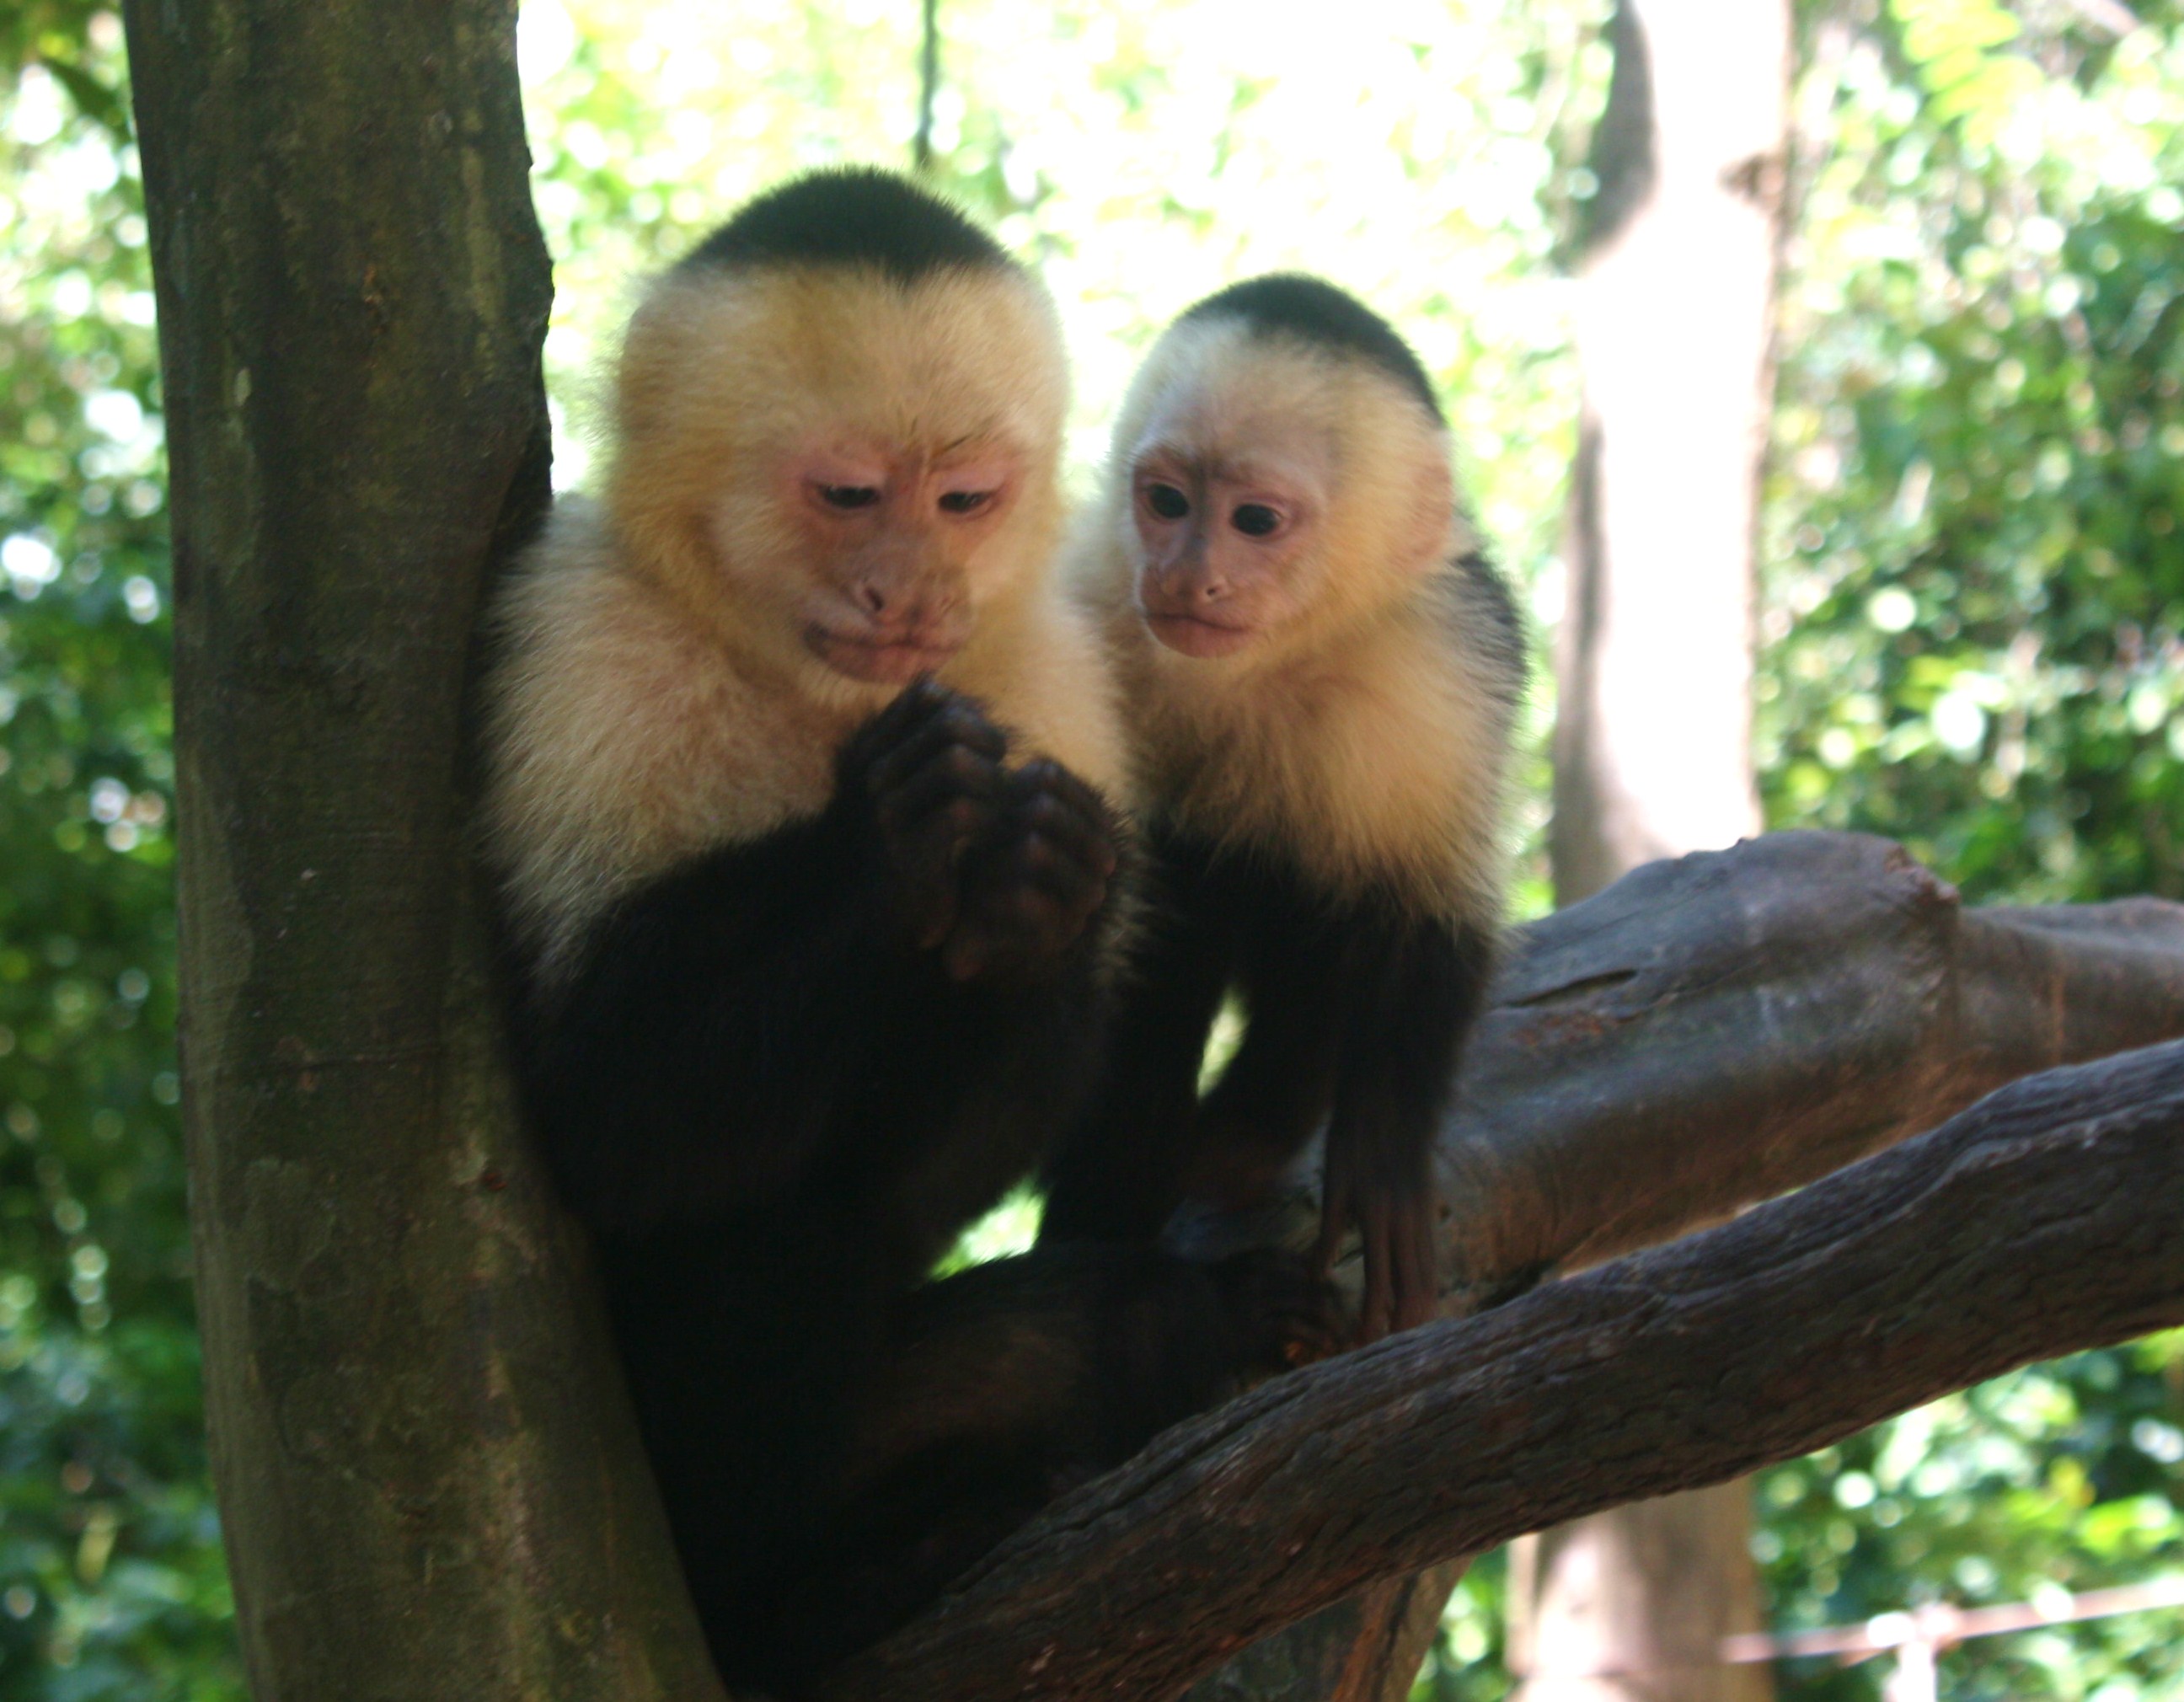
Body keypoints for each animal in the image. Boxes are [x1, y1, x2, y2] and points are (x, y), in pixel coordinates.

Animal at [476, 174, 1340, 1695]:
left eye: (963, 499)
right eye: (848, 494)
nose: (911, 589)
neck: (811, 689)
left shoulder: (1052, 680)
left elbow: (952, 1155)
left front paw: (1031, 903)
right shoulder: (578, 646)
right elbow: (609, 1130)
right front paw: (892, 835)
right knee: (780, 1227)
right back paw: (777, 1603)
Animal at [1041, 274, 1526, 1343]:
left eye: (1256, 520)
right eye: (1167, 502)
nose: (1187, 574)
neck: (1256, 668)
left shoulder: (1435, 675)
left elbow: (1429, 909)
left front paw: (1381, 1157)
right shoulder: (1086, 598)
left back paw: (1253, 1132)